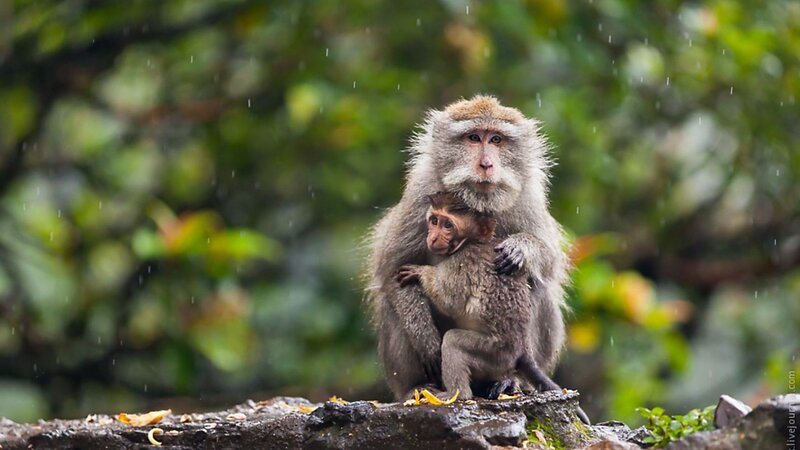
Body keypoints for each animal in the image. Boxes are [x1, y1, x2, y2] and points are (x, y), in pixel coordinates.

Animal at [365, 95, 570, 402]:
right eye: (473, 138)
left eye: (496, 139)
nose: (486, 164)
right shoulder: (419, 196)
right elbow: (392, 270)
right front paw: (425, 339)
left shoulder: (527, 198)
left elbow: (549, 262)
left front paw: (522, 249)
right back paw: (417, 387)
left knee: (538, 288)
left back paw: (513, 380)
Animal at [394, 193, 589, 424]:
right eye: (434, 220)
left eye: (447, 224)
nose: (432, 238)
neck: (471, 240)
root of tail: (523, 349)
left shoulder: (462, 263)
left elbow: (449, 299)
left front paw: (420, 273)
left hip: (494, 353)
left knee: (452, 342)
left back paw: (454, 394)